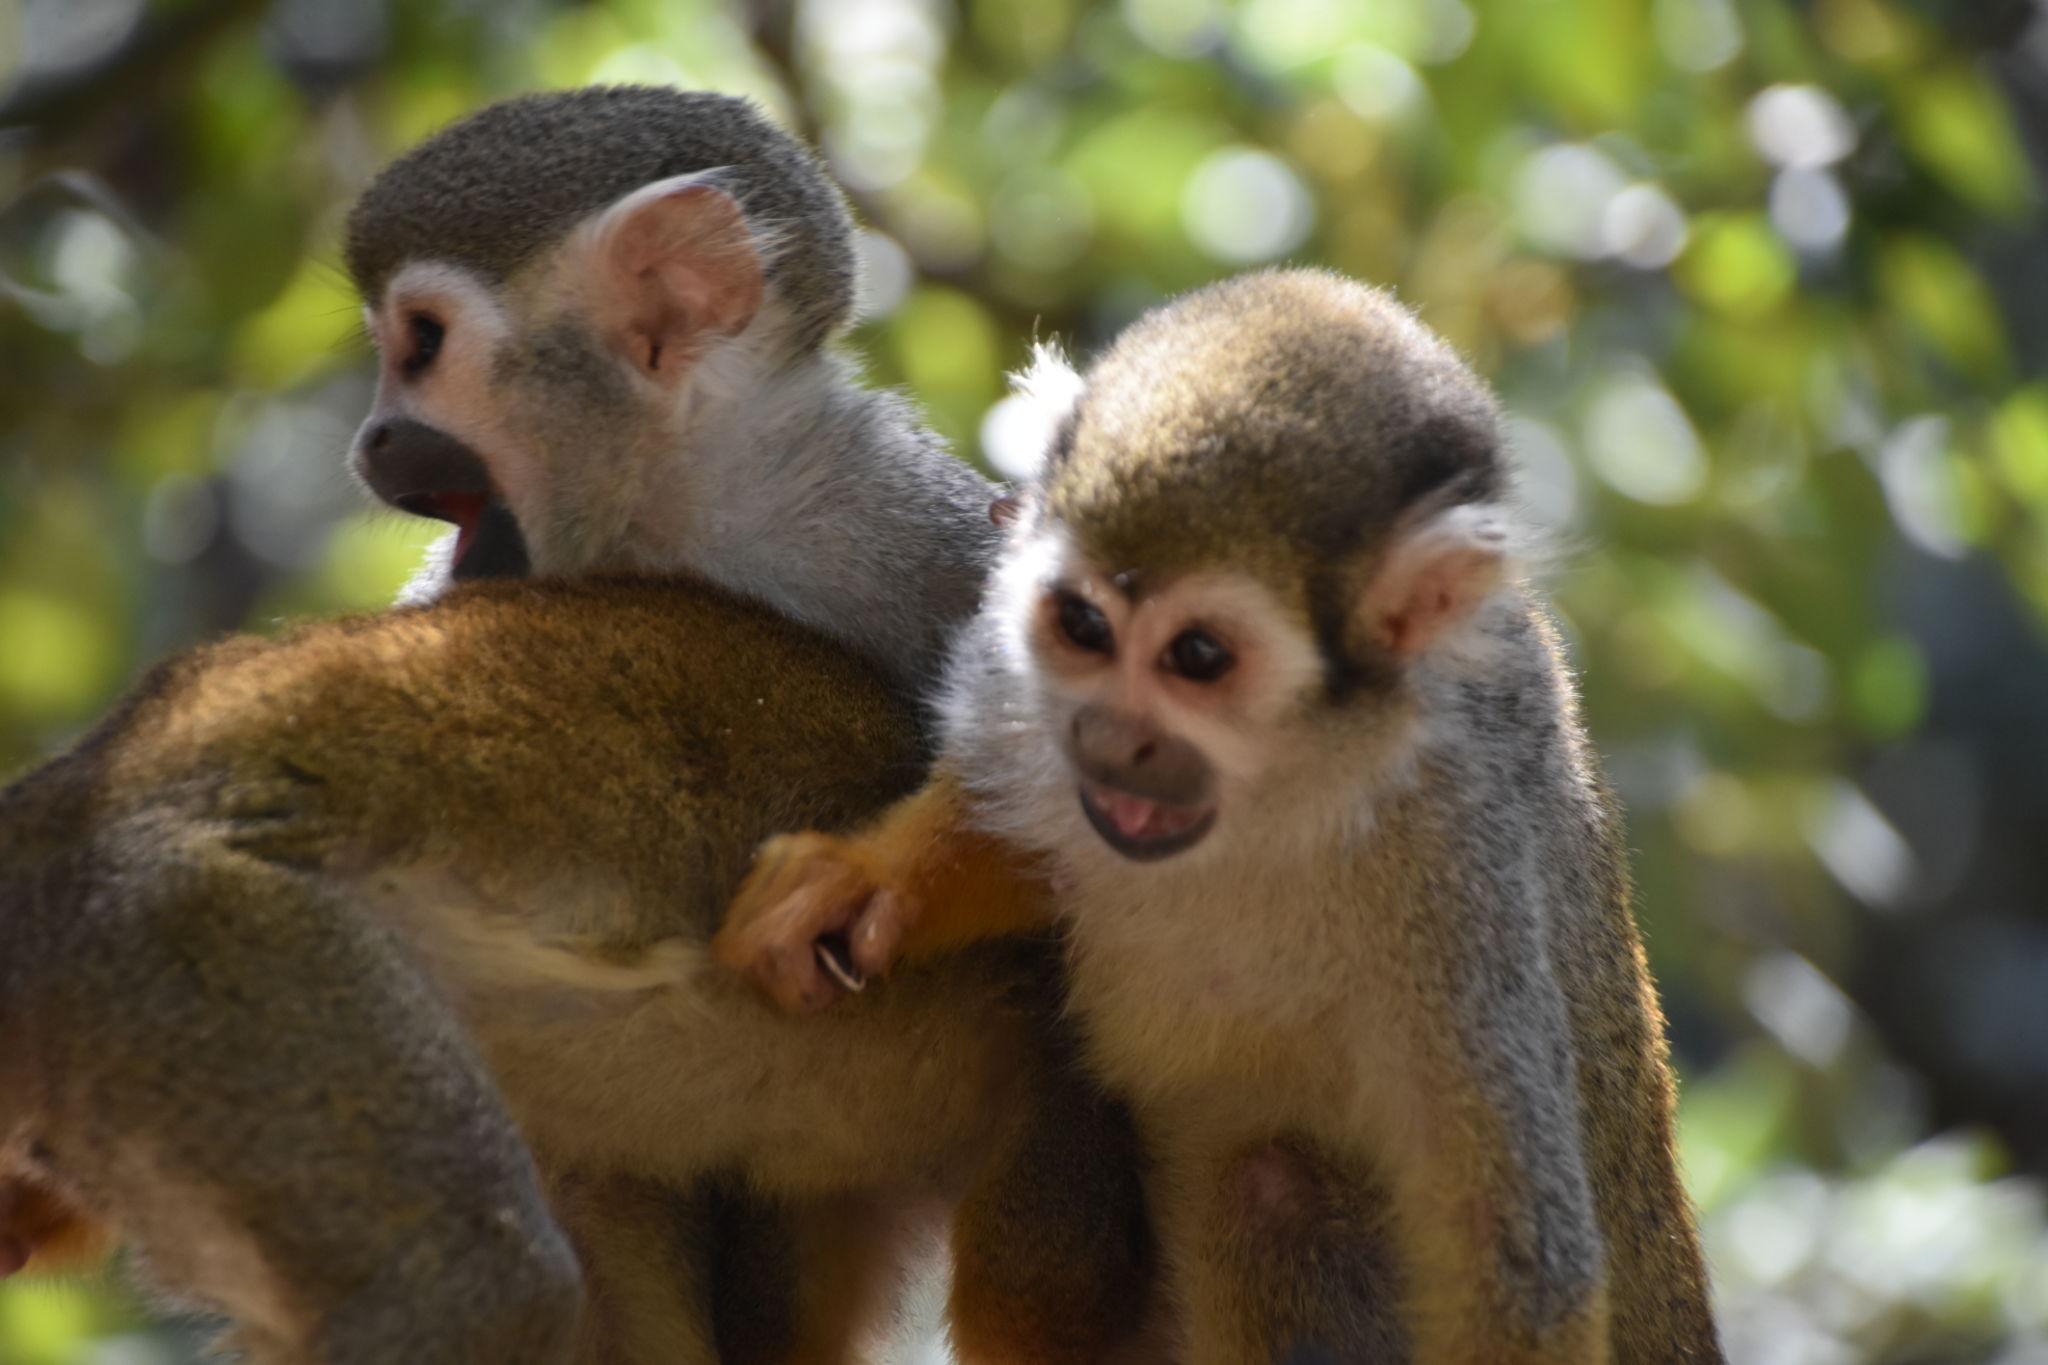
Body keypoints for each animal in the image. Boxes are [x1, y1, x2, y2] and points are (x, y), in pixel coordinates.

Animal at [718, 267, 1728, 1364]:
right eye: (1082, 626)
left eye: (1197, 657)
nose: (1107, 741)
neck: (1268, 801)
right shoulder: (1016, 688)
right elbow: (1013, 842)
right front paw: (864, 886)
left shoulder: (1460, 858)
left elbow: (1516, 1268)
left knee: (1272, 1190)